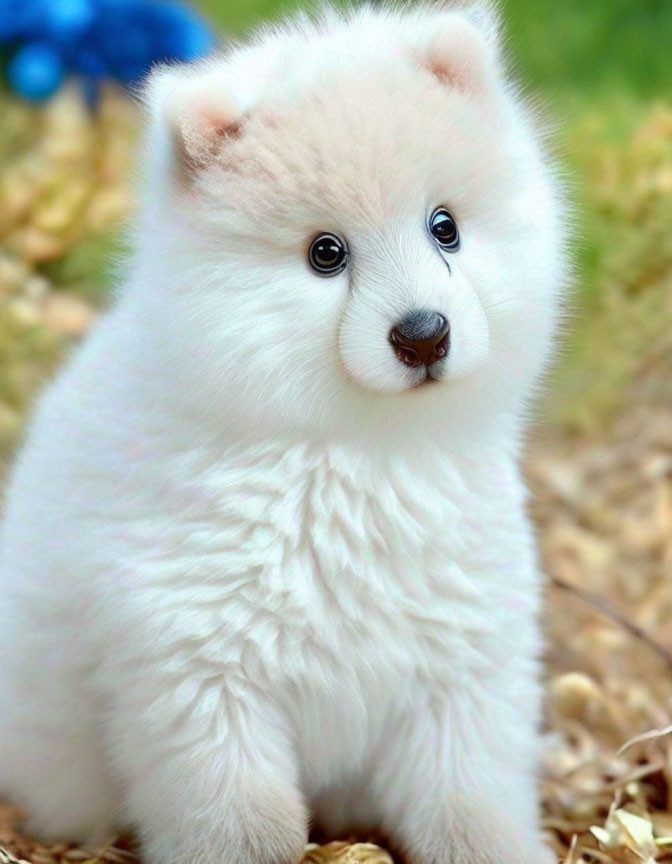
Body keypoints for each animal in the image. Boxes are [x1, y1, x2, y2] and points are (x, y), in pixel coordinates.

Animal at [0, 6, 564, 864]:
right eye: (326, 253)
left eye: (445, 228)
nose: (424, 335)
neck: (356, 453)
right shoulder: (203, 676)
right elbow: (243, 823)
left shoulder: (462, 667)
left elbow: (469, 801)